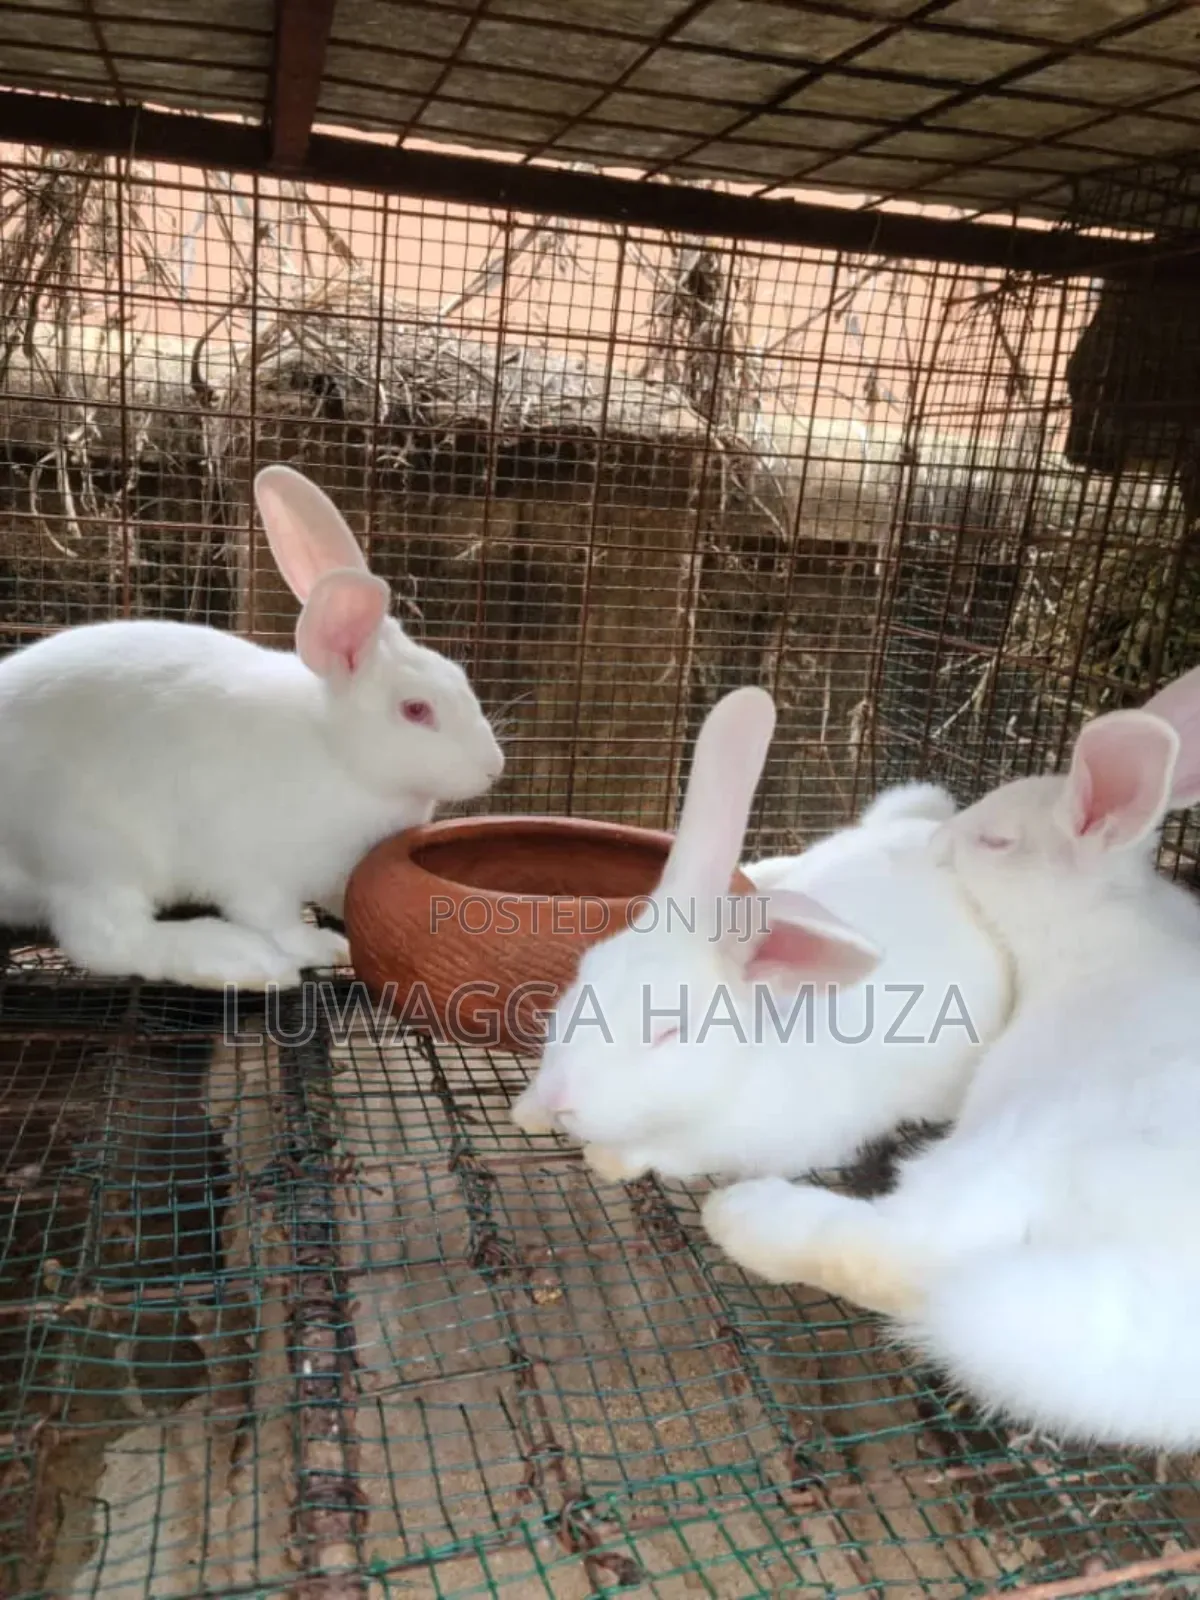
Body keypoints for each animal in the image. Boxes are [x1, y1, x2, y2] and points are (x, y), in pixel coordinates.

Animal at [0, 464, 504, 991]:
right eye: (416, 710)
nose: (494, 768)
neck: (337, 753)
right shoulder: (256, 872)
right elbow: (275, 920)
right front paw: (322, 947)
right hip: (92, 847)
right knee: (106, 940)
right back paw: (242, 961)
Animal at [510, 686, 1012, 1187]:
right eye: (582, 979)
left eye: (671, 1030)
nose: (558, 1098)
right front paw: (527, 1112)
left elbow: (672, 1153)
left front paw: (609, 1160)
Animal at [703, 666, 1200, 1451]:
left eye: (996, 839)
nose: (939, 841)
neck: (1106, 924)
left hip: (1020, 1152)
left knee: (908, 1250)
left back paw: (742, 1217)